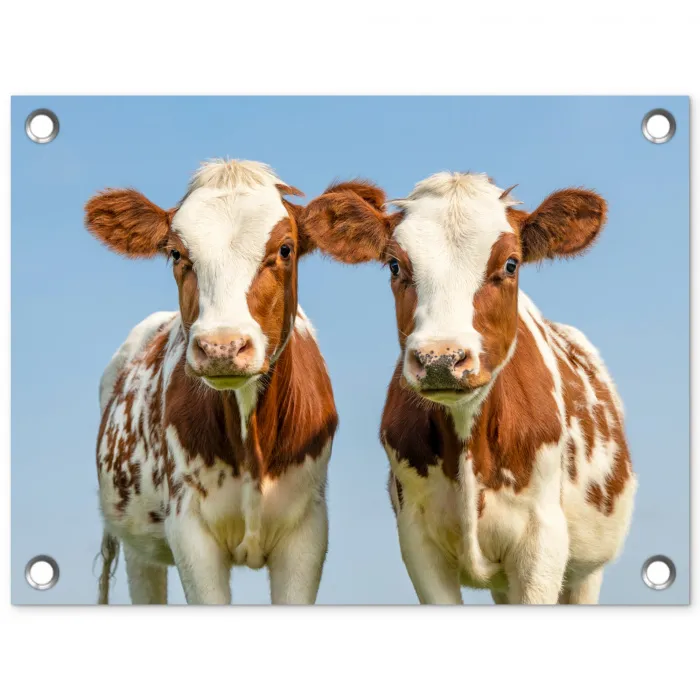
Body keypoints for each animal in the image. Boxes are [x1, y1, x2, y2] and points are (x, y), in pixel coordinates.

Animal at [86, 160, 338, 605]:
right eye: (176, 252)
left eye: (285, 249)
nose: (222, 346)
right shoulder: (190, 532)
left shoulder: (308, 532)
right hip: (138, 547)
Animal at [301, 173, 637, 604]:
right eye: (394, 264)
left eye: (510, 264)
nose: (441, 358)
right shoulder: (418, 540)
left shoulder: (542, 542)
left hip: (586, 570)